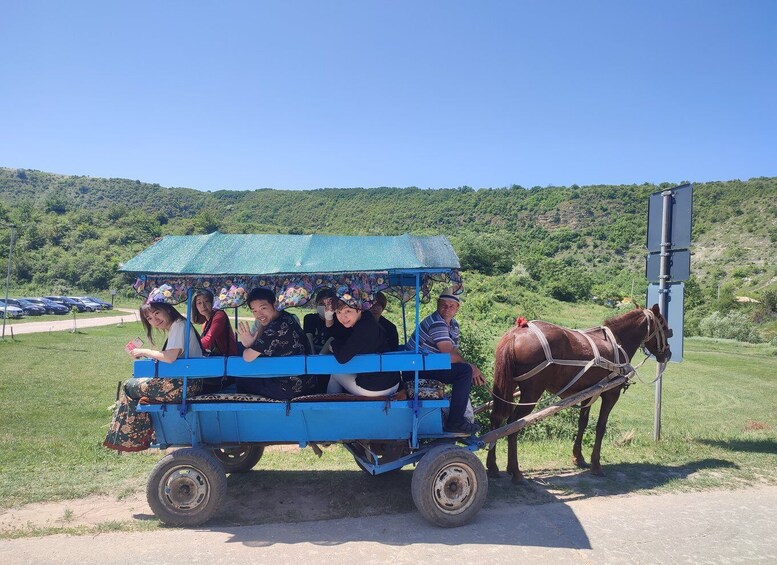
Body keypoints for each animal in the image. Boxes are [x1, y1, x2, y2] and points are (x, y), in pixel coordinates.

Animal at [488, 306, 668, 482]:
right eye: (665, 327)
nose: (667, 353)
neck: (617, 341)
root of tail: (515, 334)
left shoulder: (587, 394)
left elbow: (582, 422)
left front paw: (578, 457)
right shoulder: (611, 394)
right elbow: (600, 427)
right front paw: (596, 465)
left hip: (507, 386)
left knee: (497, 419)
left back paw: (493, 466)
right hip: (531, 394)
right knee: (513, 424)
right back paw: (515, 471)